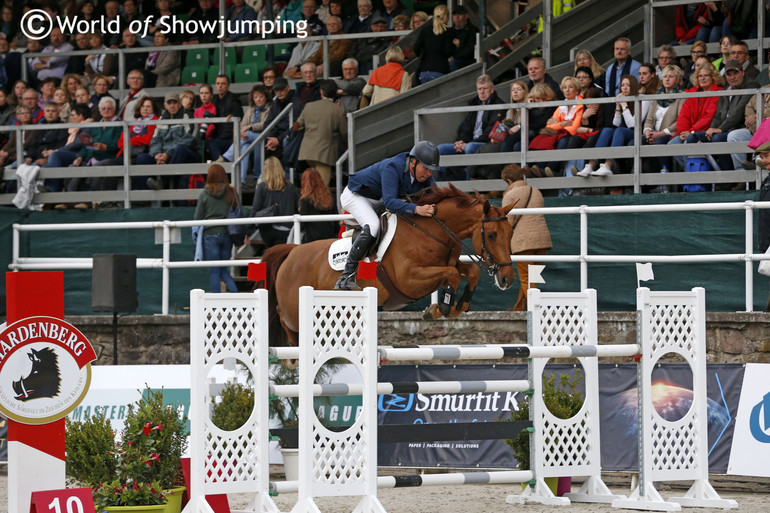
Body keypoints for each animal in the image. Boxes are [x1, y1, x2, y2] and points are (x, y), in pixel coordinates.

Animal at [262, 184, 516, 344]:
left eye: (510, 233)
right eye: (491, 235)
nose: (507, 279)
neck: (432, 231)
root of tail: (292, 252)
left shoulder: (447, 264)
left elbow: (469, 271)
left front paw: (458, 306)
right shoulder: (410, 279)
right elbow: (452, 274)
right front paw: (440, 308)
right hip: (295, 310)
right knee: (282, 315)